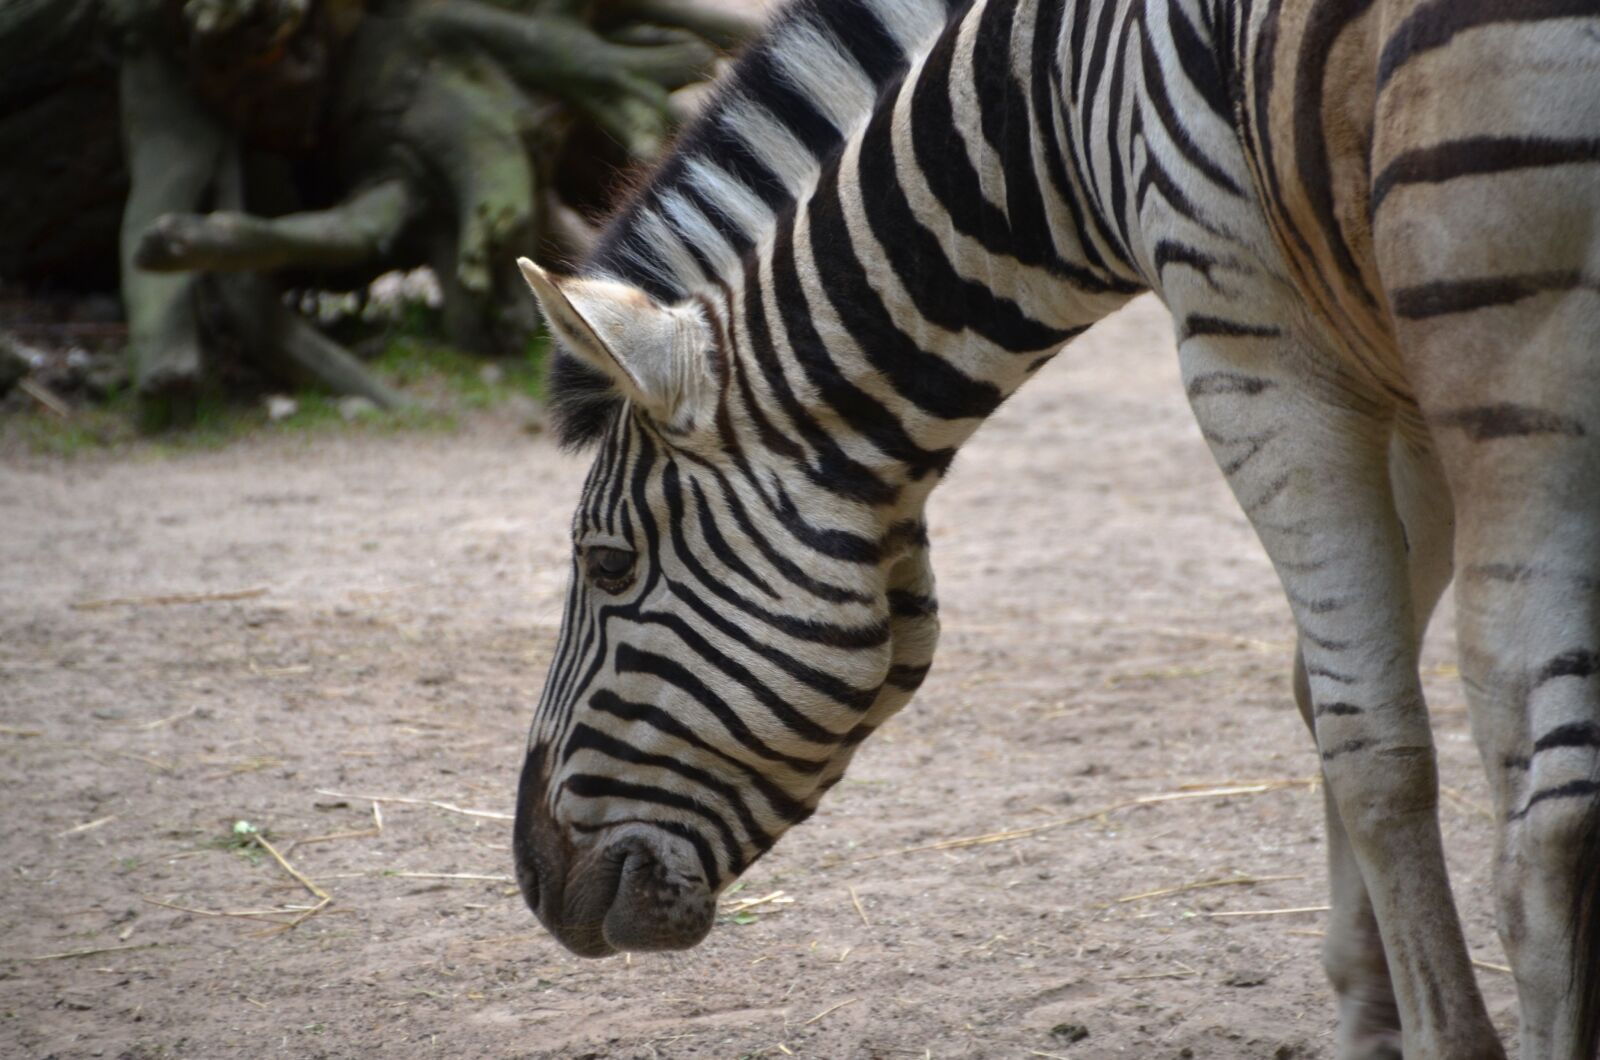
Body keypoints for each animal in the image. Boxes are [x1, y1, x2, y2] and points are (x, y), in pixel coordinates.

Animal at [509, 0, 1600, 1055]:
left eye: (606, 562)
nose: (531, 876)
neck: (1049, 104)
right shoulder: (1386, 370)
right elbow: (1328, 683)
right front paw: (1368, 1011)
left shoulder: (1256, 350)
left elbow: (1368, 738)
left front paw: (1425, 1028)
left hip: (1507, 355)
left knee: (1545, 822)